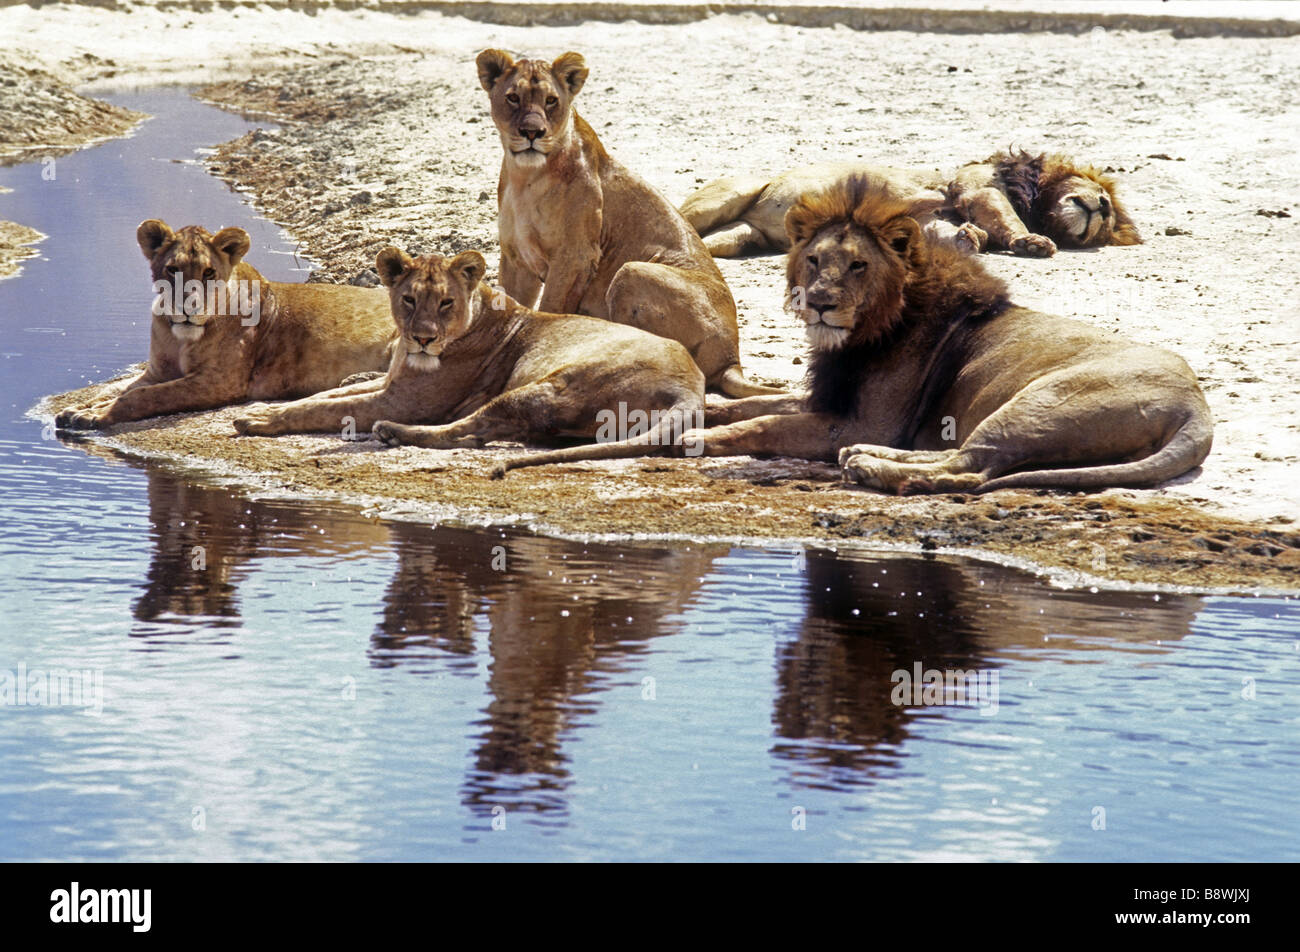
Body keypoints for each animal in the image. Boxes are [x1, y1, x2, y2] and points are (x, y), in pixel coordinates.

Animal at [53, 219, 395, 426]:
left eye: (208, 272)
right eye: (172, 270)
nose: (187, 306)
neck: (180, 338)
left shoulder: (221, 381)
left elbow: (144, 396)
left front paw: (97, 415)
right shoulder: (157, 372)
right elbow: (117, 390)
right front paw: (81, 408)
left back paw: (356, 378)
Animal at [478, 47, 780, 397]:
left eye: (551, 101)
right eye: (513, 98)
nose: (531, 133)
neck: (526, 175)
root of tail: (734, 358)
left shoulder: (575, 255)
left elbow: (549, 308)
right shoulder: (516, 259)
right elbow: (509, 306)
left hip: (632, 270)